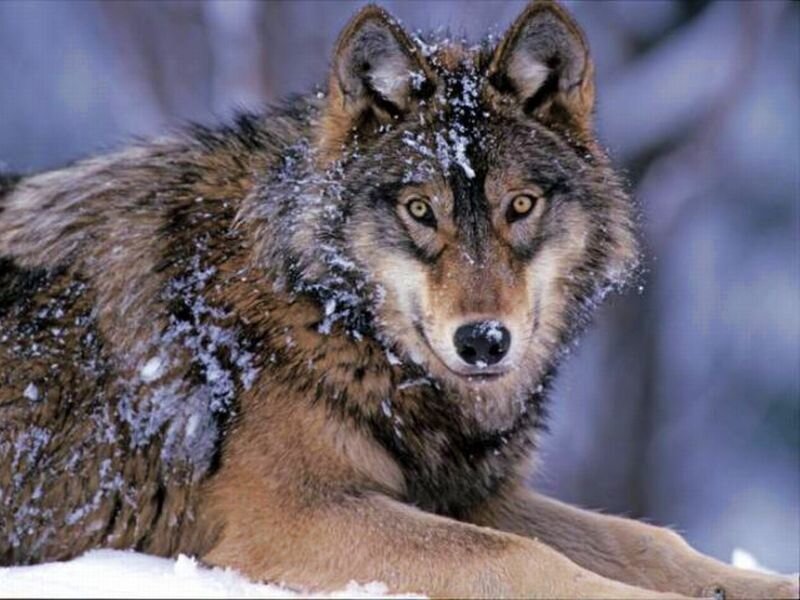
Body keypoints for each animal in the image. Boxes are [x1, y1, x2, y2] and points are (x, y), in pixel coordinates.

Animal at [0, 1, 796, 598]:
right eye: (420, 210)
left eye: (520, 206)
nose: (484, 340)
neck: (327, 316)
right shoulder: (296, 515)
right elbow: (516, 556)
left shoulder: (469, 493)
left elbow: (649, 540)